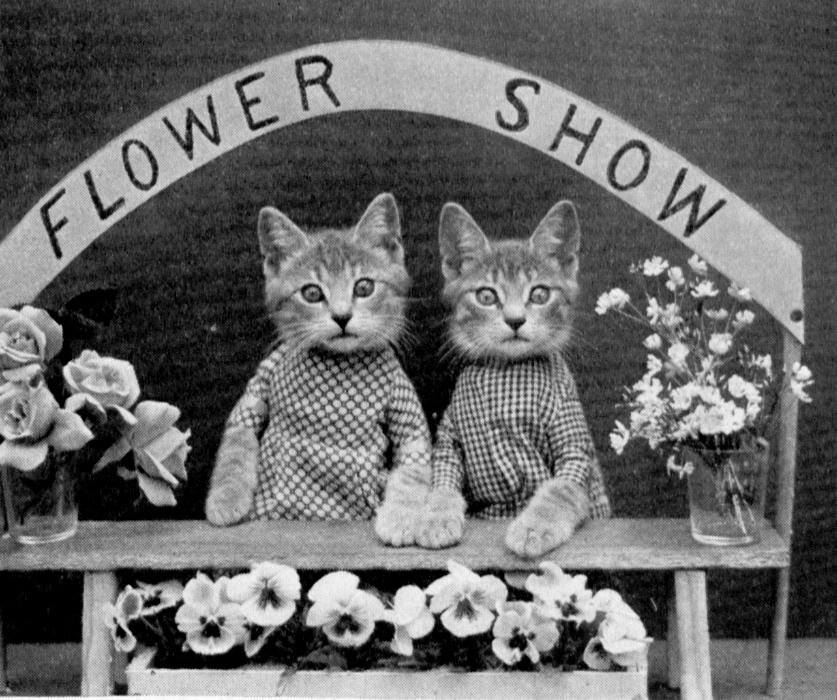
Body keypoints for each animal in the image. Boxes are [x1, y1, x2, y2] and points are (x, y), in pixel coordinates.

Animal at [206, 193, 432, 548]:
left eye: (364, 287)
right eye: (312, 293)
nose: (342, 317)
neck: (337, 362)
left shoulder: (401, 394)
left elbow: (413, 457)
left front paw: (400, 518)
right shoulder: (266, 372)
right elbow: (238, 435)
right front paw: (226, 498)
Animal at [416, 200, 608, 556]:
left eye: (540, 294)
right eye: (487, 296)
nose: (515, 320)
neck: (509, 373)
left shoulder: (574, 448)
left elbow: (559, 490)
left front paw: (535, 527)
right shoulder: (451, 437)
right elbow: (443, 481)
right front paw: (436, 516)